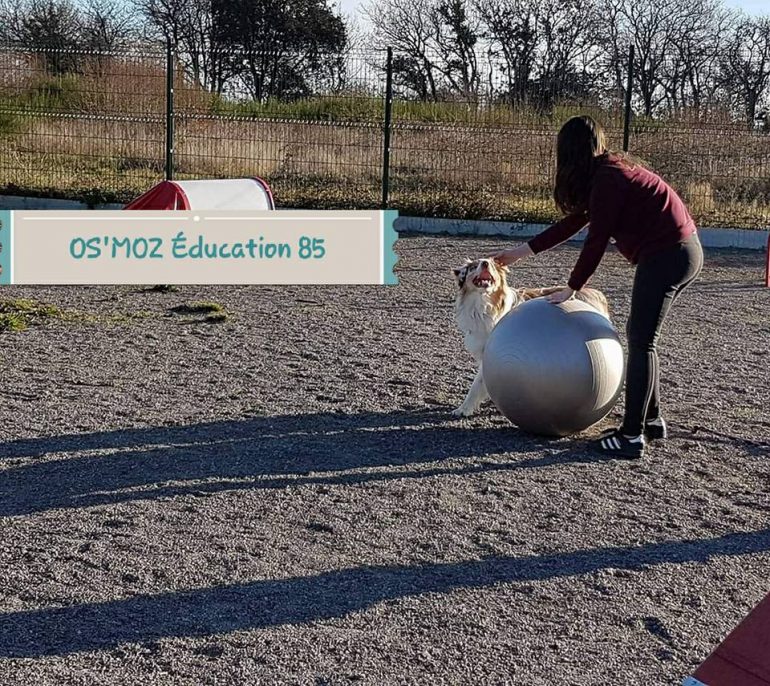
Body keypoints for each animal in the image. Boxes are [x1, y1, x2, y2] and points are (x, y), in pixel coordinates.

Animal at [450, 260, 608, 416]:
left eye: (492, 265)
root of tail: (596, 293)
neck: (483, 304)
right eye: (473, 266)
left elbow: (476, 385)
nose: (485, 263)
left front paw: (464, 408)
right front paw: (465, 408)